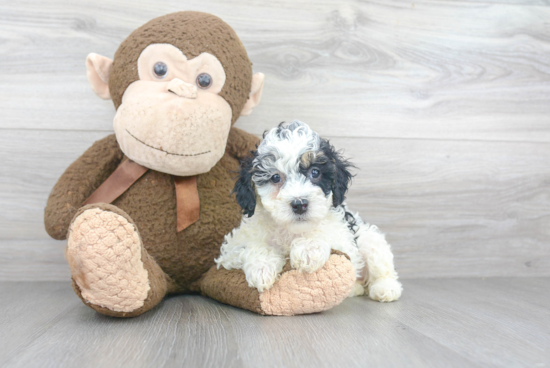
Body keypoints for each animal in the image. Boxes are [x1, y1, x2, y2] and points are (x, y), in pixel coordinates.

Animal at [217, 121, 406, 302]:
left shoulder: (344, 239)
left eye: (315, 172)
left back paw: (385, 289)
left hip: (369, 239)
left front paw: (308, 249)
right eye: (275, 177)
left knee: (380, 264)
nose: (300, 204)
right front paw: (262, 268)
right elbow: (251, 247)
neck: (291, 231)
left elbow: (325, 236)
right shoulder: (230, 252)